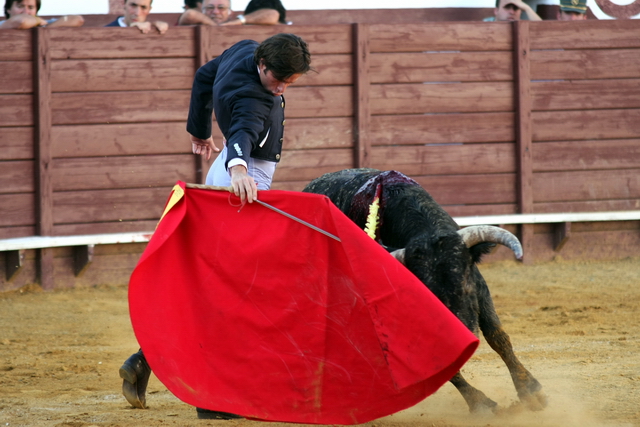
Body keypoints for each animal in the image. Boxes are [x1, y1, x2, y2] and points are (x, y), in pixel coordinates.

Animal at [302, 169, 548, 412]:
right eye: (431, 295)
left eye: (465, 284)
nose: (466, 335)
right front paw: (480, 403)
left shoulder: (480, 288)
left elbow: (497, 335)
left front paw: (530, 391)